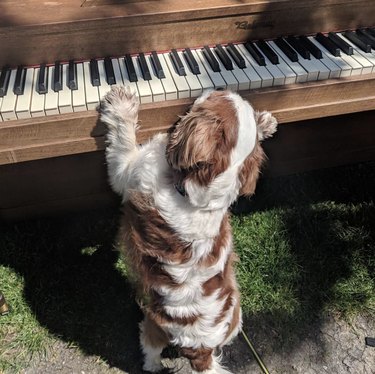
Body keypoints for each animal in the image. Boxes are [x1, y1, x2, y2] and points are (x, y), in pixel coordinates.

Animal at [101, 86, 278, 372]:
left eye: (215, 98)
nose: (219, 87)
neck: (195, 200)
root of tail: (201, 350)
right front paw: (264, 123)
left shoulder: (127, 171)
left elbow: (122, 138)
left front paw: (121, 104)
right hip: (236, 317)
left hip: (154, 329)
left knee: (150, 352)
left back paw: (151, 364)